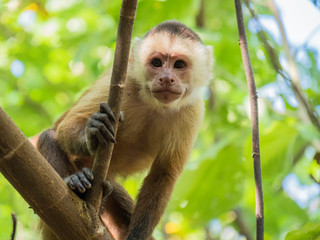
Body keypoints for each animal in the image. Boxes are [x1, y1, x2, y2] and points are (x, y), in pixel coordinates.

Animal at [35, 20, 212, 240]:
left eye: (179, 65)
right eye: (157, 63)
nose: (166, 78)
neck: (154, 104)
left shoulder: (193, 111)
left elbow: (163, 175)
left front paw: (136, 236)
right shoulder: (122, 82)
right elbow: (68, 124)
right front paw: (93, 134)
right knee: (48, 136)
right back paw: (78, 182)